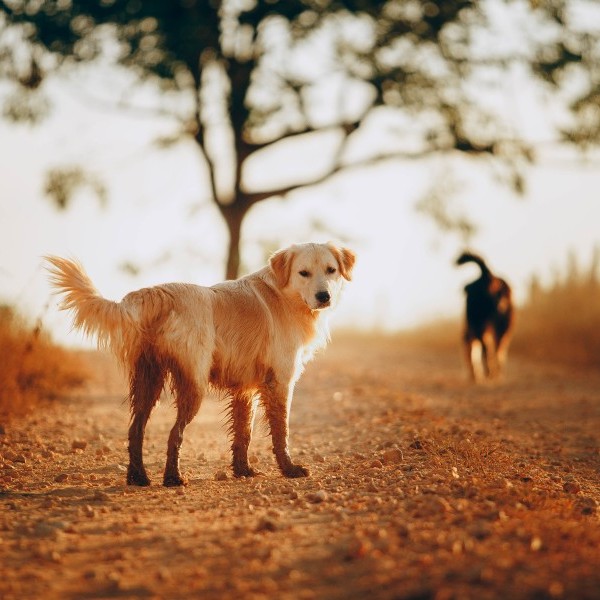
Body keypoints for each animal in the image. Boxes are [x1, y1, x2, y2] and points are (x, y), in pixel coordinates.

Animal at [48, 241, 356, 486]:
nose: (324, 297)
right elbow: (281, 431)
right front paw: (289, 469)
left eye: (331, 270)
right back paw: (172, 478)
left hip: (149, 380)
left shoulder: (245, 389)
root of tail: (155, 294)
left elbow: (243, 433)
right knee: (174, 434)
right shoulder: (280, 381)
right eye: (304, 273)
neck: (283, 294)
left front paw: (242, 470)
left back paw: (138, 477)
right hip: (193, 385)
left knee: (136, 429)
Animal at [458, 251, 512, 382]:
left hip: (479, 323)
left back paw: (488, 373)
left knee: (486, 349)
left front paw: (475, 375)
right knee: (498, 349)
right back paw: (495, 373)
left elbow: (472, 357)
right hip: (505, 326)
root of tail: (488, 276)